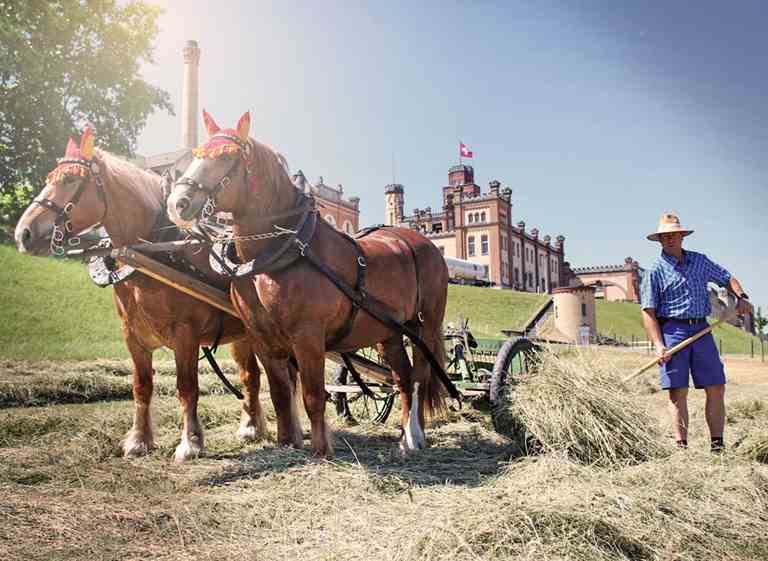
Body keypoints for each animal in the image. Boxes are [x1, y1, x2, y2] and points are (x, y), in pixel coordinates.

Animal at [15, 129, 296, 462]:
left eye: (70, 180)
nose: (23, 233)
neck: (154, 250)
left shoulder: (185, 333)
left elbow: (186, 387)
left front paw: (190, 443)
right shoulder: (132, 334)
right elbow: (141, 386)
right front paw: (139, 440)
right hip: (243, 335)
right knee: (250, 376)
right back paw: (251, 427)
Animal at [165, 111, 448, 458]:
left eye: (226, 156)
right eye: (196, 155)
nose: (178, 203)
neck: (278, 253)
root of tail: (421, 241)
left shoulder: (308, 335)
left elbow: (313, 395)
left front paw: (321, 450)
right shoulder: (262, 337)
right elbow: (280, 393)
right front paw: (288, 443)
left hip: (425, 326)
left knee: (420, 375)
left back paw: (416, 434)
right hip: (389, 332)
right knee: (403, 378)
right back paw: (406, 436)